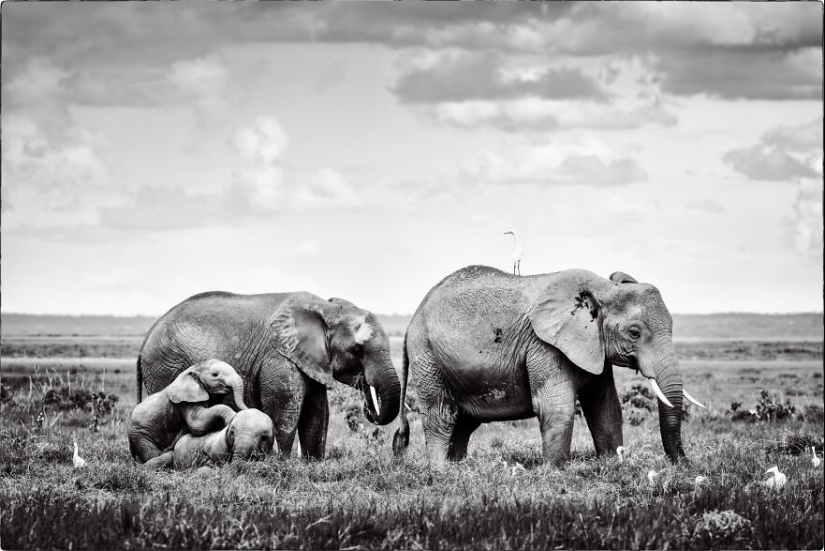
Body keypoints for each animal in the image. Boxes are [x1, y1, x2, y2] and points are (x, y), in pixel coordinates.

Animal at [137, 292, 400, 460]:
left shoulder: (310, 360)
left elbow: (317, 414)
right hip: (165, 366)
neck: (326, 308)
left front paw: (313, 466)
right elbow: (286, 412)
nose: (368, 406)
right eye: (357, 350)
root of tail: (147, 335)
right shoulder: (279, 359)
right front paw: (278, 464)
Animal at [392, 266, 700, 466]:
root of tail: (412, 320)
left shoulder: (593, 346)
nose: (685, 465)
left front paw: (613, 463)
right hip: (427, 356)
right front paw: (555, 471)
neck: (602, 287)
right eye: (635, 333)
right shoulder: (543, 344)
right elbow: (557, 406)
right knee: (441, 413)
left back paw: (457, 467)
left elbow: (605, 407)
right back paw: (441, 471)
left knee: (464, 421)